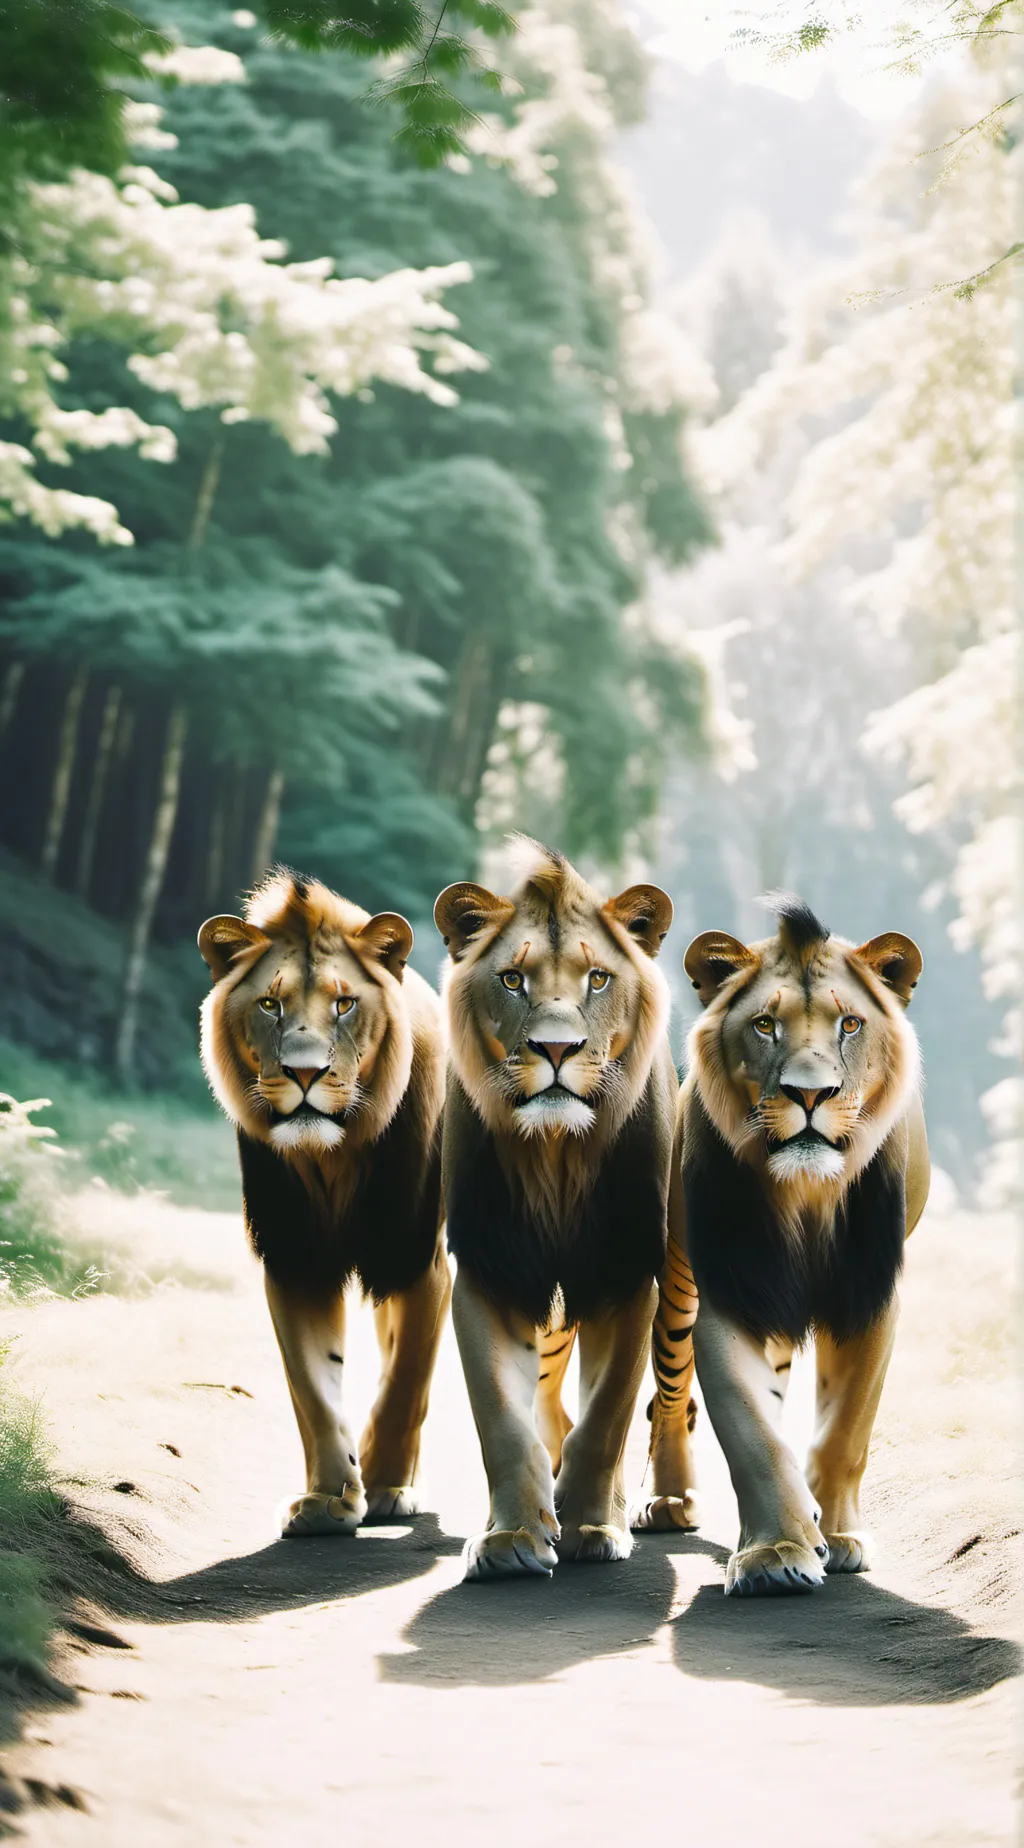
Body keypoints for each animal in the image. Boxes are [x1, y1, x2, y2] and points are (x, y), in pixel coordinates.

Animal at [198, 869, 449, 1537]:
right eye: (270, 1004)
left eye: (344, 1004)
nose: (304, 1073)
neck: (333, 1155)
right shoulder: (294, 1255)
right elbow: (312, 1386)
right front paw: (327, 1499)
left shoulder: (416, 1257)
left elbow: (407, 1378)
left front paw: (387, 1486)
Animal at [433, 837, 676, 1581]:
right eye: (513, 980)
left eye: (597, 979)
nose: (557, 1048)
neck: (557, 1157)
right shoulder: (490, 1270)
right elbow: (503, 1421)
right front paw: (513, 1535)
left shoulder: (627, 1274)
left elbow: (608, 1416)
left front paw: (592, 1525)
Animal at [638, 892, 929, 1596]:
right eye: (765, 1025)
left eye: (850, 1024)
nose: (809, 1092)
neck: (805, 1192)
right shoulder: (729, 1292)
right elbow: (751, 1432)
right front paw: (775, 1552)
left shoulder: (871, 1293)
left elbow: (846, 1428)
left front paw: (840, 1537)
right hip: (681, 1286)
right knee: (669, 1394)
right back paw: (668, 1499)